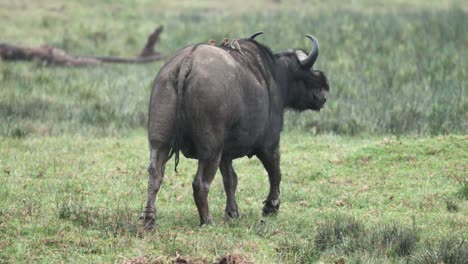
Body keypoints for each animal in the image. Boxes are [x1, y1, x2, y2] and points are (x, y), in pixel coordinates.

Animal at [141, 32, 328, 228]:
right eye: (308, 72)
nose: (322, 96)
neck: (273, 75)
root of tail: (187, 61)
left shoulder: (226, 154)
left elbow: (230, 180)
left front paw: (232, 212)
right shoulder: (269, 143)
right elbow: (275, 172)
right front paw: (271, 207)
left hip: (160, 141)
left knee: (155, 174)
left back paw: (149, 218)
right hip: (210, 149)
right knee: (200, 183)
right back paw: (207, 221)